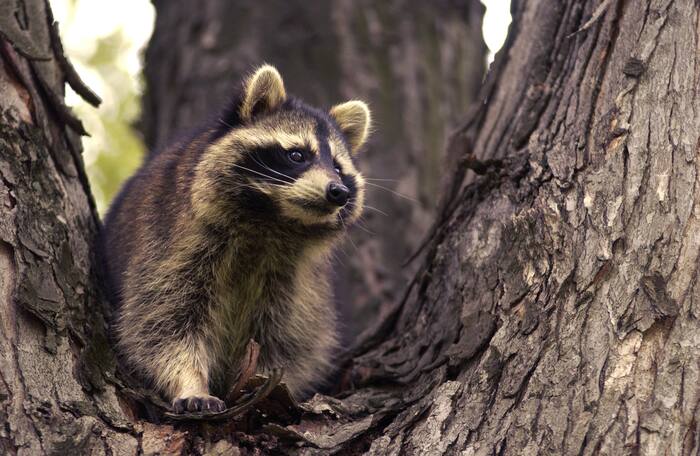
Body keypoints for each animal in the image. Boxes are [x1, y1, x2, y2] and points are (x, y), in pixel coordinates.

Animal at [99, 65, 371, 413]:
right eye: (297, 155)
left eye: (337, 167)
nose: (338, 192)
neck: (270, 220)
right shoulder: (172, 242)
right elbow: (160, 322)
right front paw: (190, 382)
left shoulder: (296, 280)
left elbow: (289, 340)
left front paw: (269, 387)